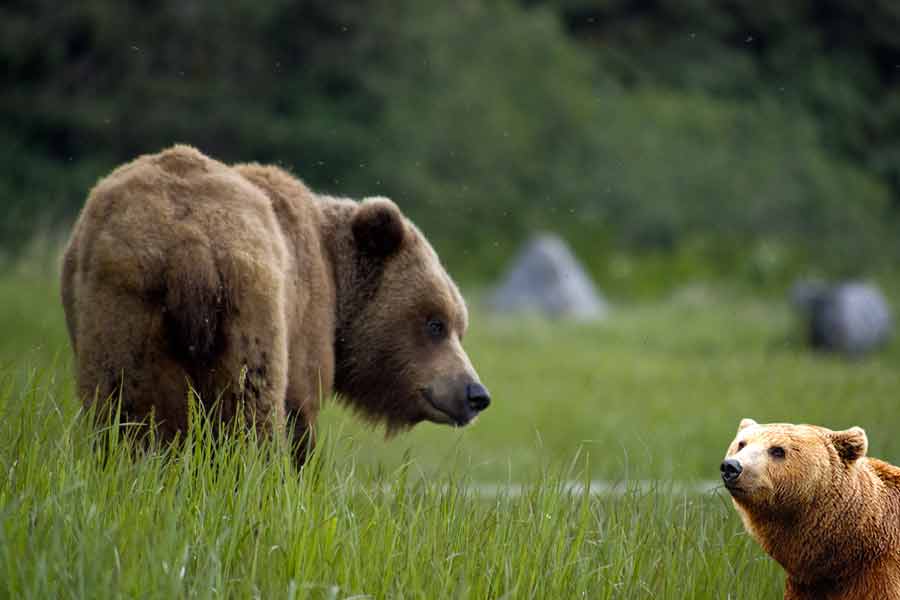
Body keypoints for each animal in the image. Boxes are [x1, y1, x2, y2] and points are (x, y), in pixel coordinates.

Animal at [61, 145, 491, 466]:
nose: (476, 393)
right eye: (435, 323)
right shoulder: (306, 321)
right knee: (250, 412)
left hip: (124, 306)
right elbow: (300, 411)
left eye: (459, 325)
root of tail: (189, 245)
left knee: (124, 411)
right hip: (250, 307)